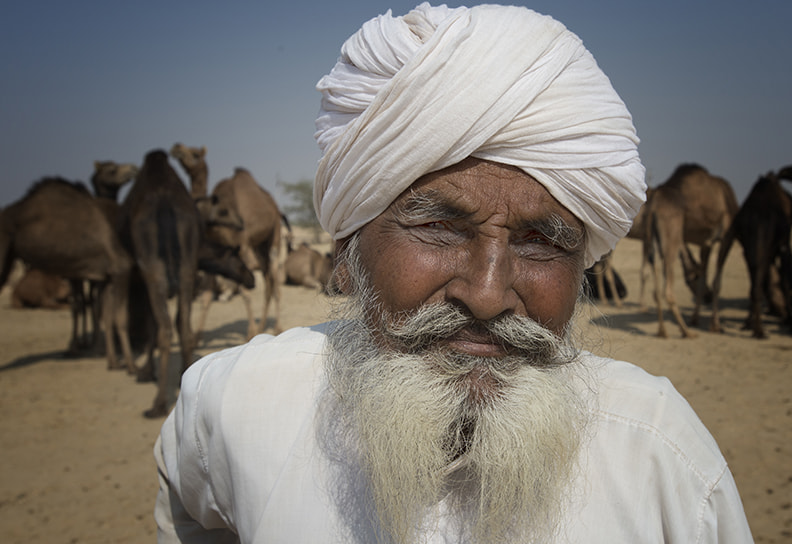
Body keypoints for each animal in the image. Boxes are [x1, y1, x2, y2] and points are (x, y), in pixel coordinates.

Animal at [0, 178, 134, 369]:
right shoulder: (115, 270)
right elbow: (111, 314)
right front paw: (126, 363)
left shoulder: (105, 274)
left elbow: (104, 312)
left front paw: (111, 359)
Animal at [120, 149, 201, 418]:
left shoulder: (132, 270)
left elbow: (151, 324)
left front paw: (144, 372)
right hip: (187, 268)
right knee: (184, 326)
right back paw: (184, 377)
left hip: (152, 270)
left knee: (165, 328)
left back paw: (158, 403)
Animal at [645, 164, 739, 338]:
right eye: (690, 280)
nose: (708, 298)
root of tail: (653, 205)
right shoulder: (727, 236)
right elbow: (716, 282)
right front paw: (715, 325)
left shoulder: (705, 243)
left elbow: (703, 276)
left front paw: (695, 318)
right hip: (671, 234)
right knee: (667, 290)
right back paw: (686, 331)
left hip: (650, 239)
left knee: (656, 288)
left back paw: (662, 330)